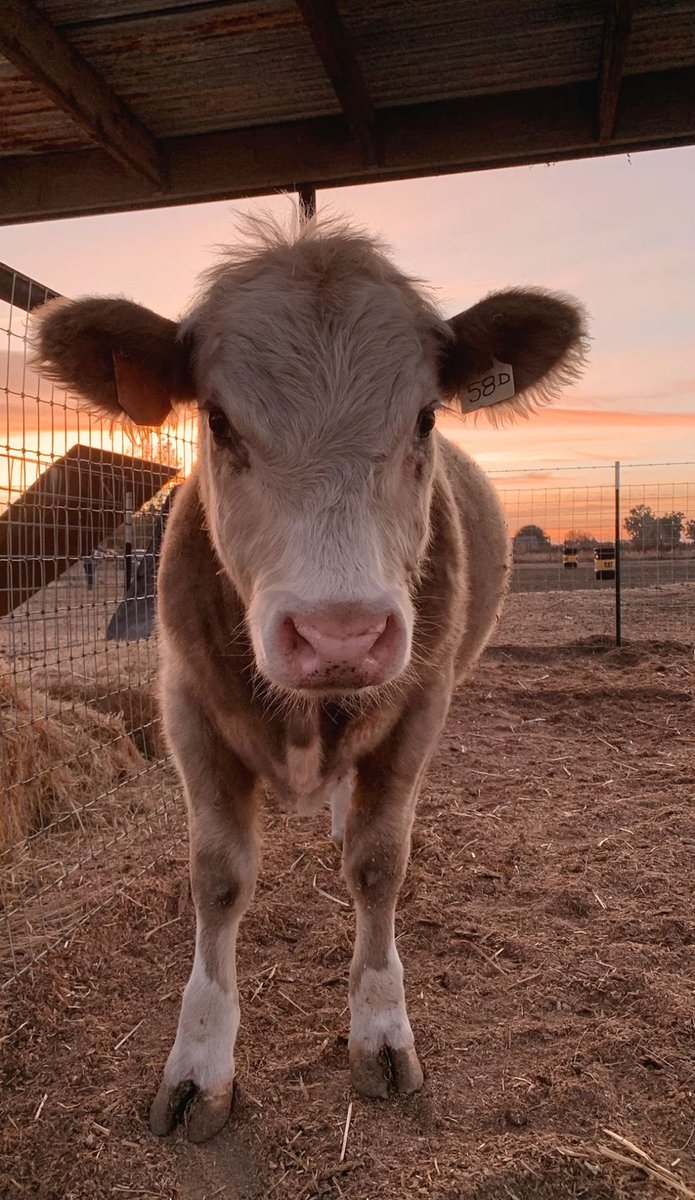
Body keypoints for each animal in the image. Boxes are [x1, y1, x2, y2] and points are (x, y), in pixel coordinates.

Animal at [34, 213, 587, 1143]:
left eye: (424, 417)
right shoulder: (186, 708)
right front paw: (199, 1062)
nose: (341, 633)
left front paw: (381, 1030)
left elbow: (378, 862)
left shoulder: (420, 707)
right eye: (218, 421)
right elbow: (218, 877)